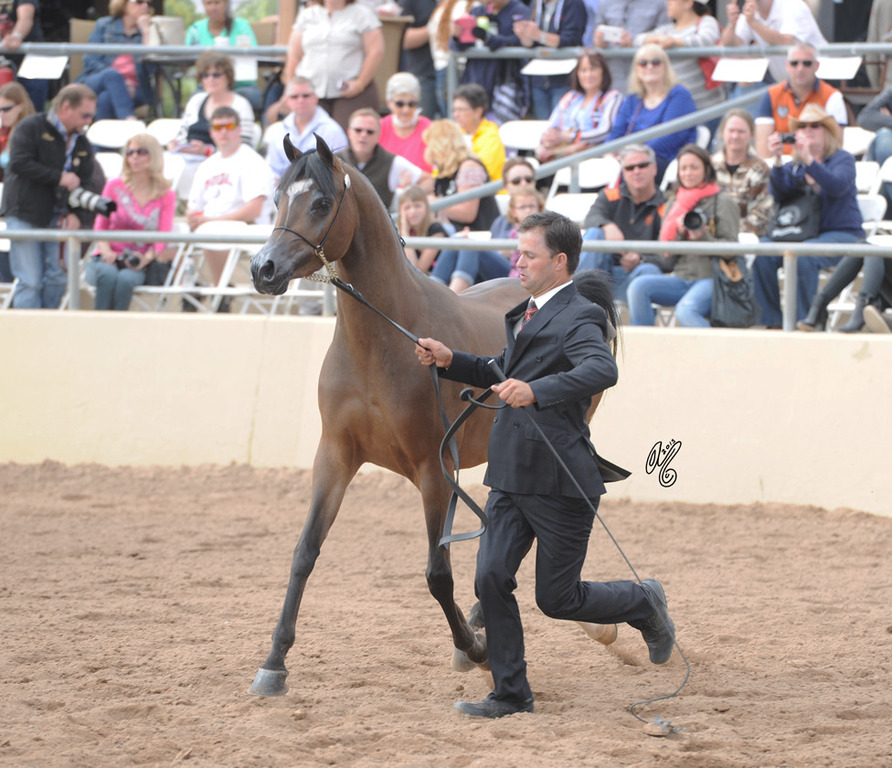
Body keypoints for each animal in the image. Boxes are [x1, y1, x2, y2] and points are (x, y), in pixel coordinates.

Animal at [247, 135, 619, 697]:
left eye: (321, 203)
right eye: (276, 199)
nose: (263, 269)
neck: (384, 341)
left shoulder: (434, 470)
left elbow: (437, 574)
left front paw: (474, 650)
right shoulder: (334, 456)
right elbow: (305, 552)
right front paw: (274, 662)